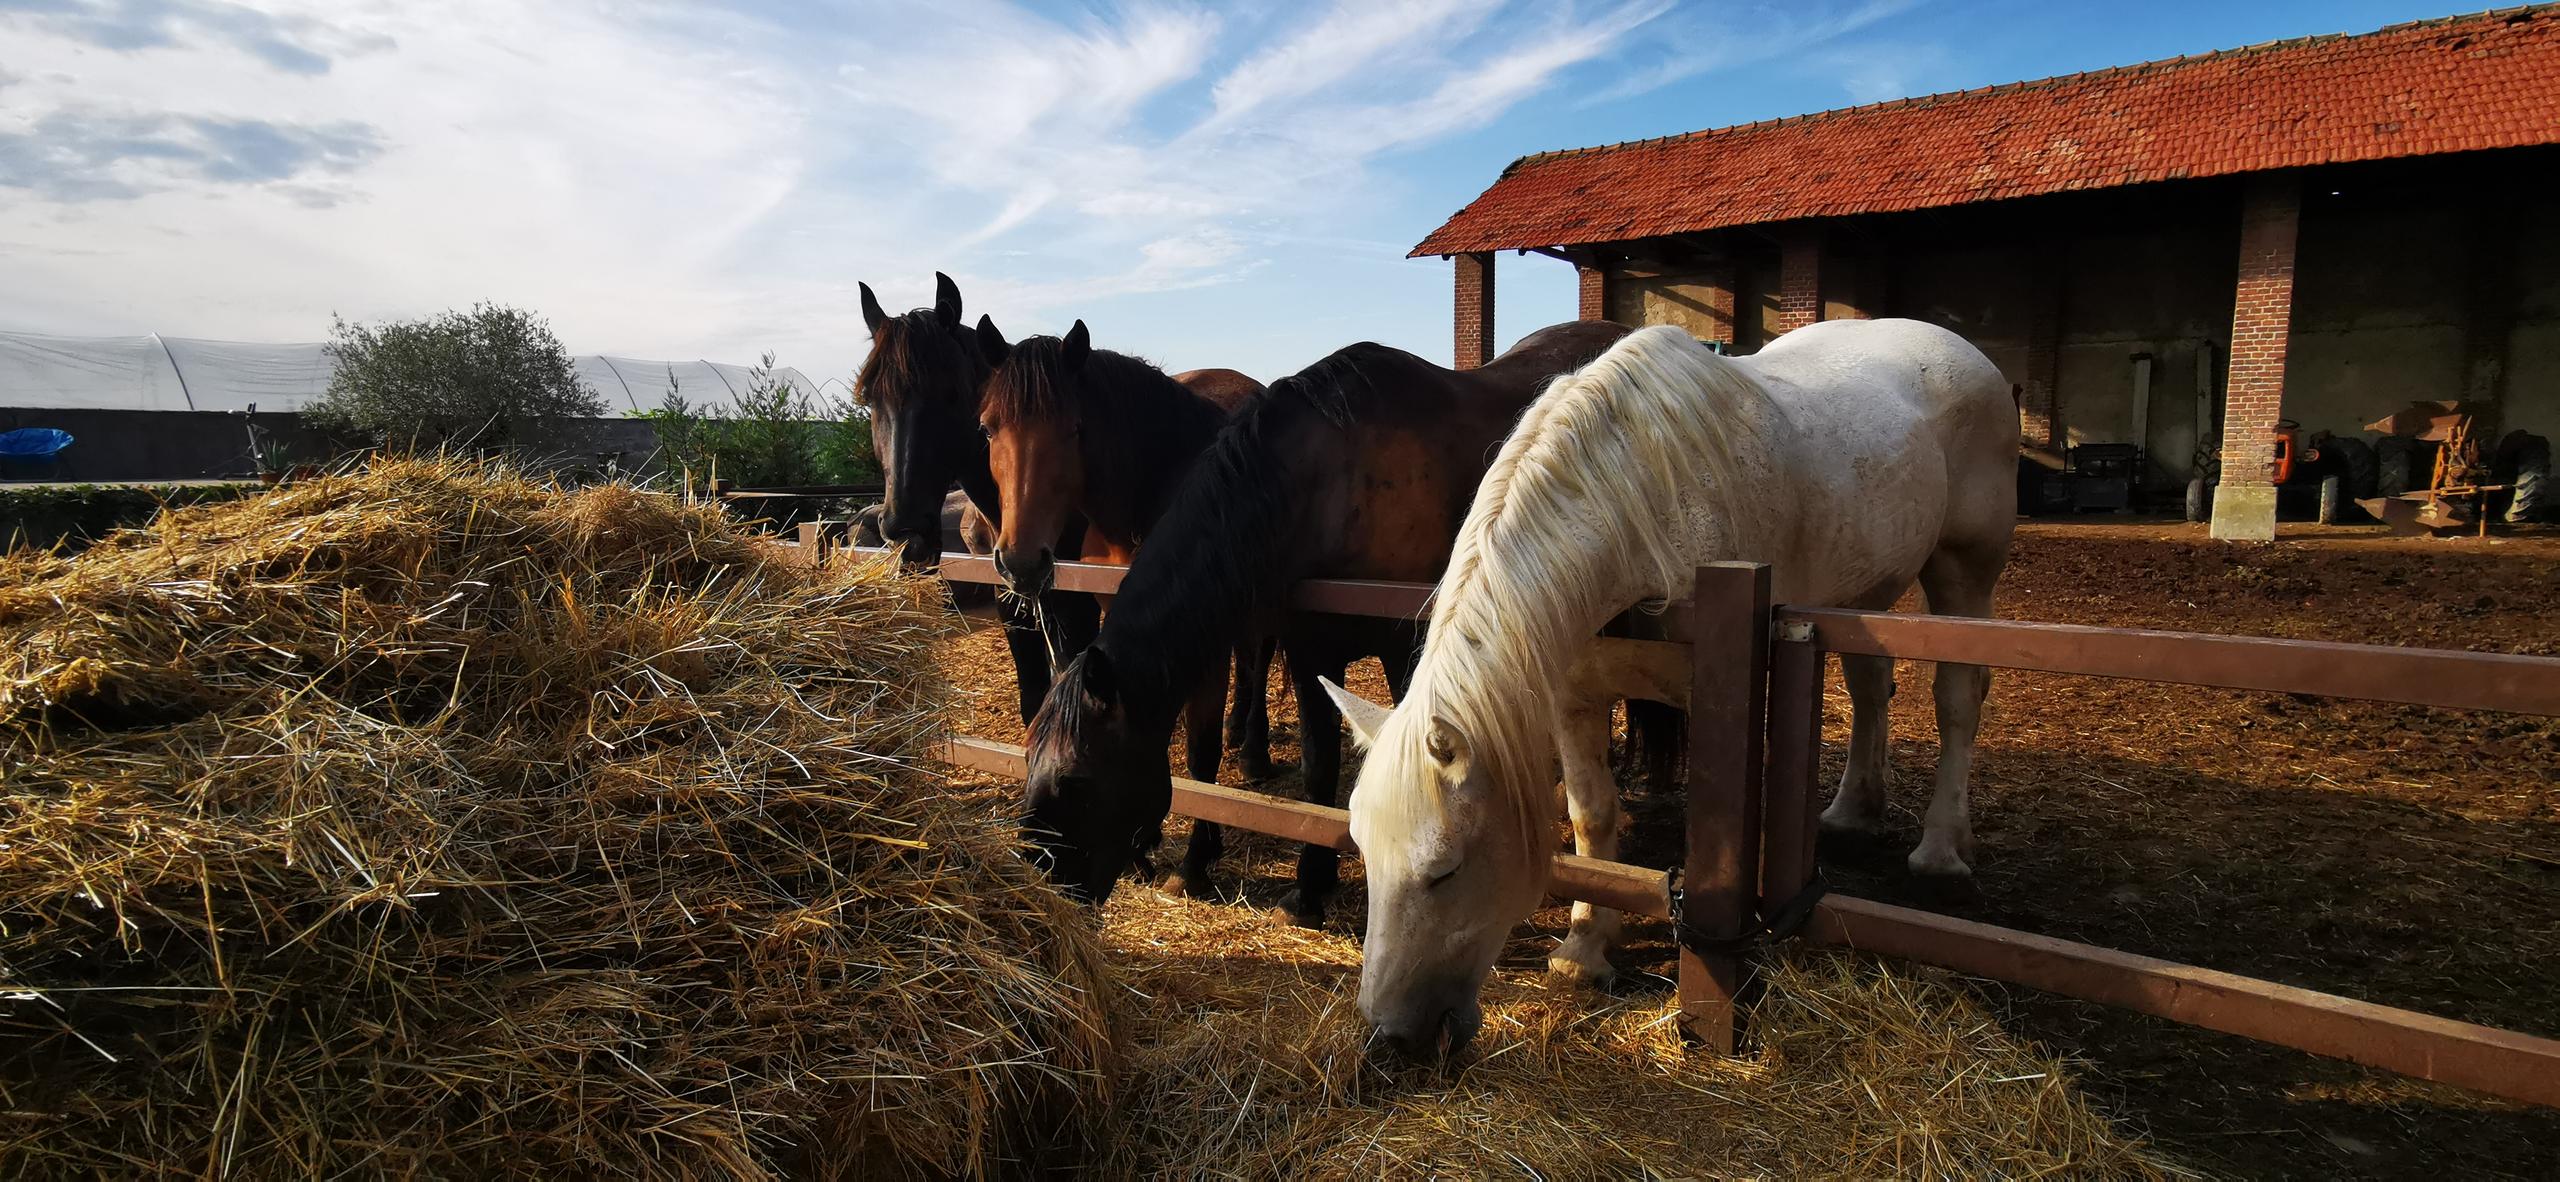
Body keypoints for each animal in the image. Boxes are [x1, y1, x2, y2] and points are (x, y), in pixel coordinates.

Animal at [856, 273, 1099, 722]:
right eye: (869, 398)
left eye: (951, 392)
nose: (906, 534)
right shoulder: (1015, 605)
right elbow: (1034, 699)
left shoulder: (1079, 607)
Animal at [973, 317, 1279, 781]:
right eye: (988, 428)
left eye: (1075, 428)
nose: (1020, 563)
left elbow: (1201, 756)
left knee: (1259, 661)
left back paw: (1254, 750)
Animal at [1018, 319, 1633, 926]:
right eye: (1028, 759)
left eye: (1075, 781)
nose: (1045, 885)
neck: (1330, 485)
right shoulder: (1312, 651)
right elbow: (1319, 766)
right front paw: (1311, 888)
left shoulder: (1405, 653)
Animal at [1322, 320, 2016, 1061]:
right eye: (1362, 849)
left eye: (1445, 870)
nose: (1394, 1035)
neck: (1646, 512)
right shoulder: (1573, 698)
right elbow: (1591, 817)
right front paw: (1586, 945)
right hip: (1866, 594)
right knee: (1869, 685)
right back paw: (1854, 812)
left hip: (1964, 572)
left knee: (1958, 700)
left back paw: (1942, 850)